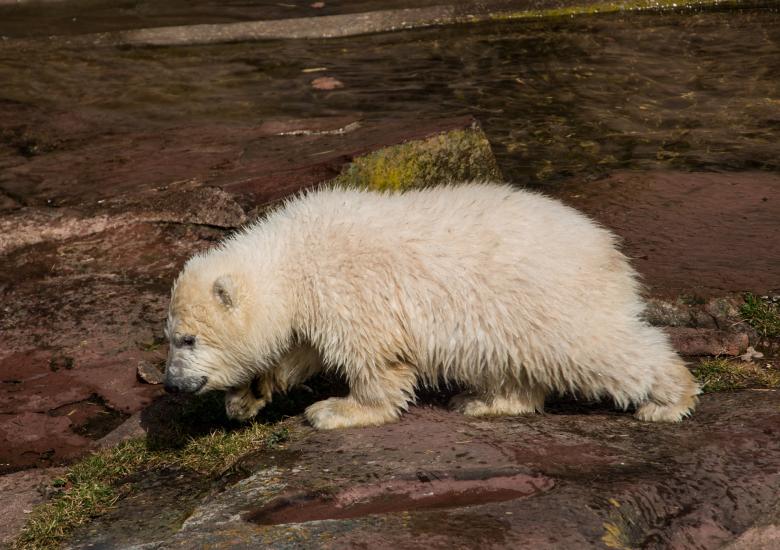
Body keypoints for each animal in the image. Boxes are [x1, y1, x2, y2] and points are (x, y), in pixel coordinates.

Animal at [164, 183, 699, 429]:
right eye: (169, 338)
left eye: (188, 339)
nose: (171, 383)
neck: (294, 252)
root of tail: (607, 247)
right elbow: (297, 352)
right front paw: (244, 399)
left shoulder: (349, 289)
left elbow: (375, 360)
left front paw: (335, 410)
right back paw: (485, 401)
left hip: (550, 298)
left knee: (597, 348)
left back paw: (670, 400)